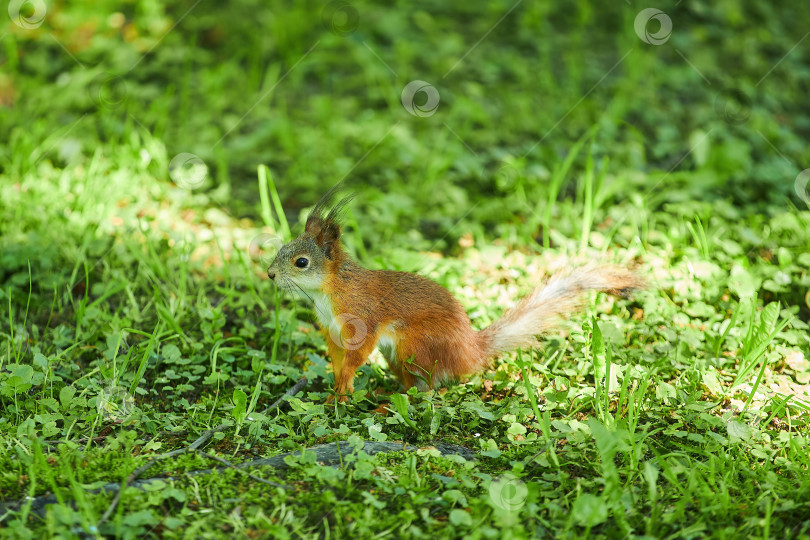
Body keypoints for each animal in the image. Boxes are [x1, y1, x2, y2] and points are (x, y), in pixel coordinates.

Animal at [268, 188, 640, 398]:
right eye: (283, 249)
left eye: (301, 262)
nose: (270, 274)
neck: (330, 291)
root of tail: (468, 353)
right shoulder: (331, 330)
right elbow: (336, 358)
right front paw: (336, 391)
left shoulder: (362, 319)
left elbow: (357, 354)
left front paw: (344, 385)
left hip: (414, 345)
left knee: (425, 389)